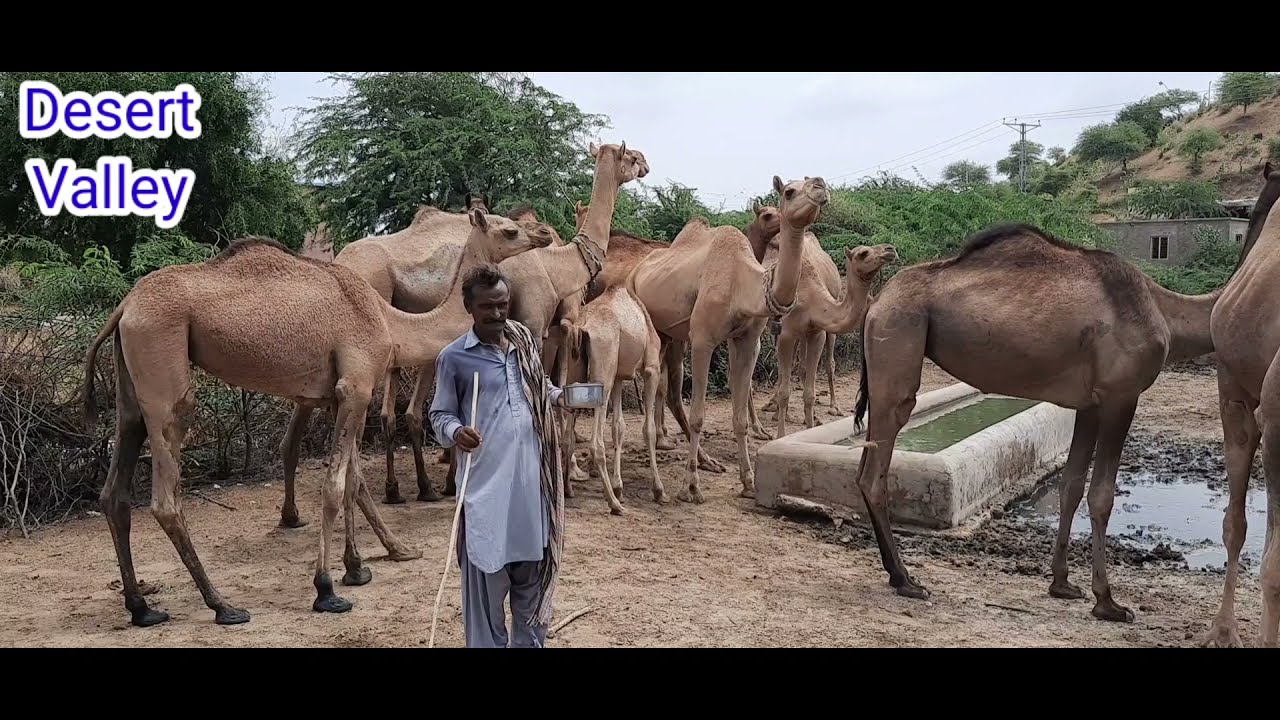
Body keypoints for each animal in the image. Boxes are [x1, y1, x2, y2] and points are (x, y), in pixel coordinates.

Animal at [79, 209, 550, 627]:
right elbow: (334, 486)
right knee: (165, 497)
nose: (544, 233)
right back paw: (222, 605)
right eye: (509, 230)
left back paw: (142, 608)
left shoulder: (339, 394)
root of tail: (124, 307)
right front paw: (327, 589)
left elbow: (354, 480)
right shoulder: (356, 385)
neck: (389, 322)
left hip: (131, 384)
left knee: (115, 486)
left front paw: (371, 561)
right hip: (163, 364)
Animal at [557, 284, 665, 515]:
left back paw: (569, 489)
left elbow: (619, 427)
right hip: (602, 373)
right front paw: (658, 490)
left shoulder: (618, 377)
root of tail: (581, 327)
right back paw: (614, 505)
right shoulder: (651, 368)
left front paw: (619, 487)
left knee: (568, 436)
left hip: (576, 369)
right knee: (596, 443)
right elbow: (648, 429)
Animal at [627, 176, 830, 502]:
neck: (743, 282)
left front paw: (747, 482)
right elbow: (699, 416)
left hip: (668, 334)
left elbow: (740, 418)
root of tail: (636, 270)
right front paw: (690, 487)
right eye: (789, 191)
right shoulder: (702, 340)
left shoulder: (747, 341)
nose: (820, 185)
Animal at [762, 237, 898, 437]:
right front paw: (780, 436)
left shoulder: (815, 333)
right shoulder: (787, 333)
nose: (890, 250)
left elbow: (809, 393)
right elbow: (785, 392)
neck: (811, 298)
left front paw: (809, 430)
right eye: (863, 253)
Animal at [851, 222, 1218, 621]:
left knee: (864, 465)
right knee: (876, 470)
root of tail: (877, 302)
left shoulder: (1089, 403)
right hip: (899, 339)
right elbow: (1102, 495)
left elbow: (1071, 485)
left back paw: (897, 575)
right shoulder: (1121, 395)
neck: (1163, 310)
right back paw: (906, 580)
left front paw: (1062, 584)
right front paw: (1108, 602)